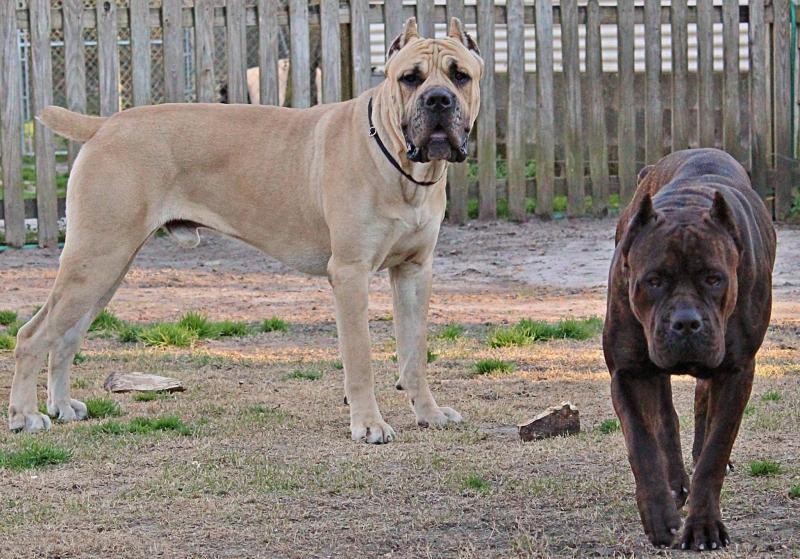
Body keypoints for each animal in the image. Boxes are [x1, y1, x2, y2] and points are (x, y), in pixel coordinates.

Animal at [9, 18, 484, 446]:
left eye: (460, 75)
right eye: (410, 78)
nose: (438, 99)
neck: (403, 169)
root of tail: (104, 124)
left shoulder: (414, 272)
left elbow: (414, 354)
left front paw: (429, 414)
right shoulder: (350, 274)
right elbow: (360, 361)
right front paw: (368, 425)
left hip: (106, 268)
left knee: (65, 336)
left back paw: (62, 406)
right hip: (95, 259)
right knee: (32, 335)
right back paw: (25, 416)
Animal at [608, 148, 776, 552]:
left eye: (714, 279)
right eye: (653, 281)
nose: (686, 322)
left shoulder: (735, 372)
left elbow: (716, 450)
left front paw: (703, 526)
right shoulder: (627, 370)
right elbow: (642, 443)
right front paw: (659, 515)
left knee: (702, 408)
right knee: (665, 416)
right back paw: (674, 485)